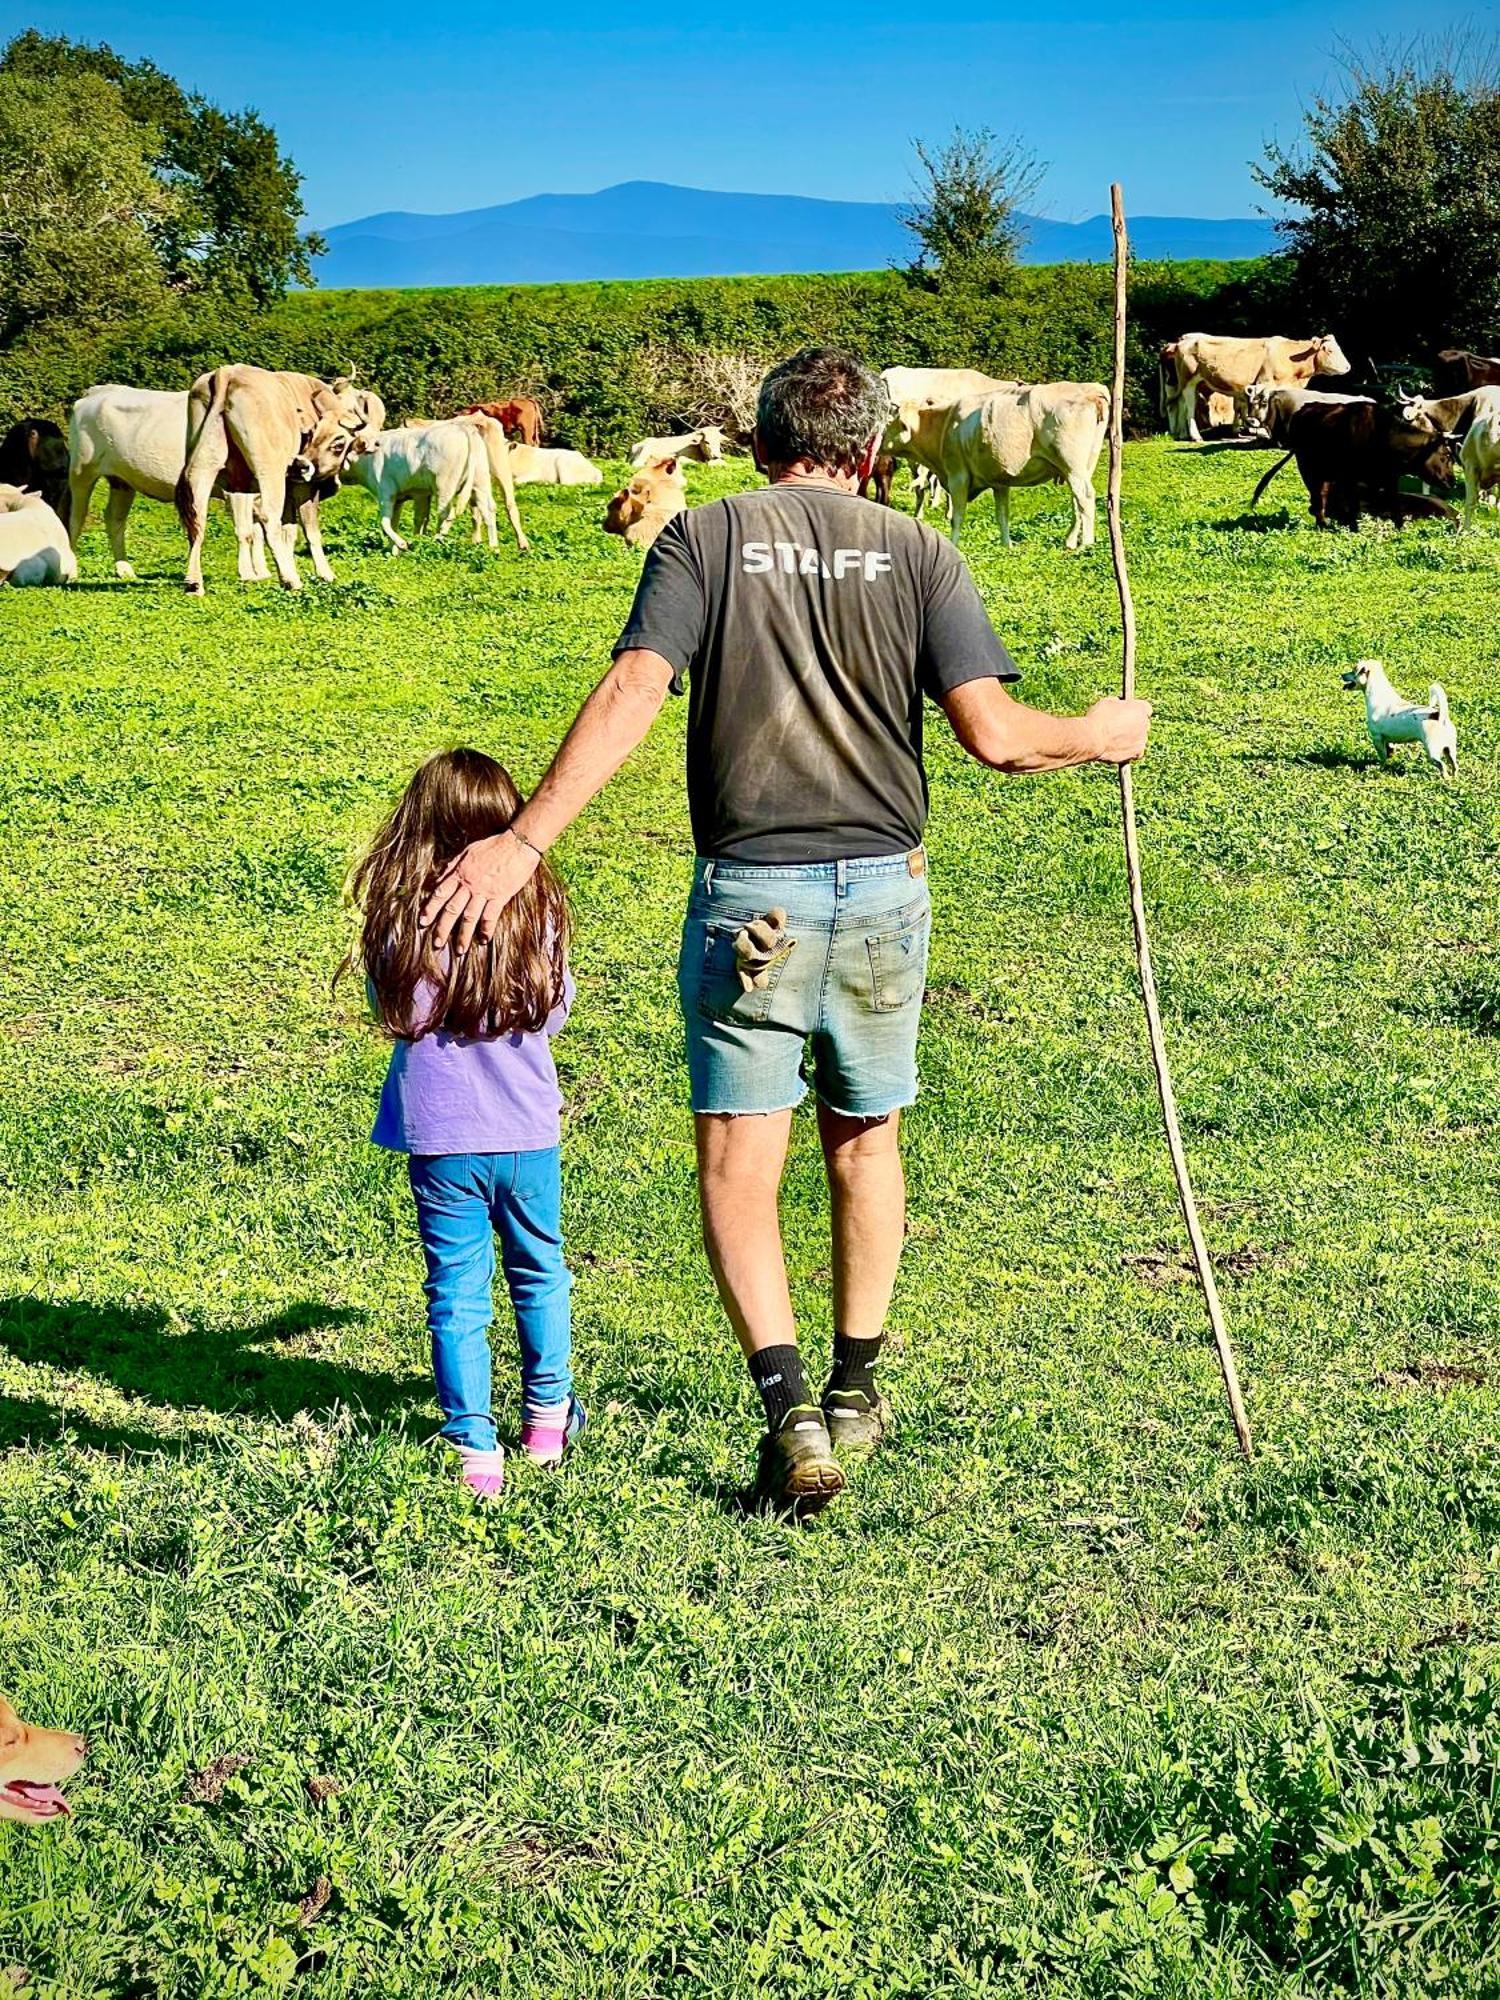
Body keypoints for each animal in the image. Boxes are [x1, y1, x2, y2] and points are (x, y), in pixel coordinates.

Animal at [178, 368, 384, 588]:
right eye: (311, 435)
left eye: (336, 443)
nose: (302, 465)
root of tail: (228, 372)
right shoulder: (303, 488)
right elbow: (309, 531)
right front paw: (325, 573)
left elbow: (288, 533)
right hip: (270, 472)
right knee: (268, 519)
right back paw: (289, 580)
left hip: (207, 467)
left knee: (199, 519)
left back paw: (197, 582)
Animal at [936, 382, 1112, 552]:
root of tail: (1091, 391)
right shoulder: (999, 481)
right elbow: (1002, 514)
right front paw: (1006, 546)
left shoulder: (958, 474)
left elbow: (957, 517)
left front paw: (952, 545)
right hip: (1085, 464)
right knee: (1076, 499)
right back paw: (1070, 541)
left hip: (1071, 461)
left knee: (1085, 496)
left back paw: (1086, 545)